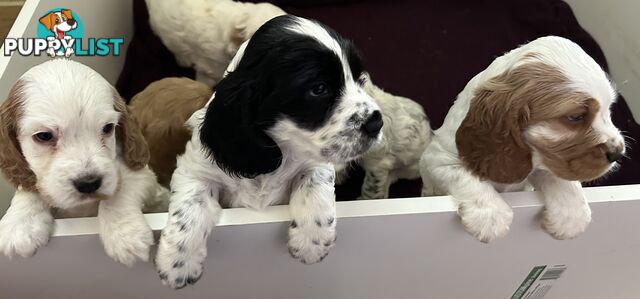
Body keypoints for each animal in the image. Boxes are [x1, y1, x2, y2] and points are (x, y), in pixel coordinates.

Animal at [0, 59, 168, 266]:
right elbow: (31, 187)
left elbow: (120, 191)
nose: (89, 183)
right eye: (44, 136)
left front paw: (125, 234)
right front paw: (20, 223)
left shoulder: (143, 176)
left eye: (108, 128)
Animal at [156, 15, 382, 290]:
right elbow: (190, 206)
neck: (280, 148)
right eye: (319, 89)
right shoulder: (196, 169)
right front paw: (177, 263)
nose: (376, 122)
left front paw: (311, 241)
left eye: (360, 79)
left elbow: (314, 184)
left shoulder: (316, 161)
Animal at [420, 36, 624, 244]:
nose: (618, 154)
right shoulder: (436, 158)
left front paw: (572, 216)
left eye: (609, 109)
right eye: (576, 117)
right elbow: (463, 175)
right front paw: (490, 216)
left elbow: (557, 175)